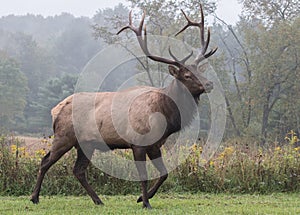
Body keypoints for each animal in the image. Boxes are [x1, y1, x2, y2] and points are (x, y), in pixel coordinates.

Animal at [30, 5, 217, 209]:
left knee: (78, 170)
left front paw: (141, 198)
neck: (164, 114)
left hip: (85, 144)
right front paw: (145, 202)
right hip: (64, 136)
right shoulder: (138, 142)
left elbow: (164, 173)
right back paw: (34, 197)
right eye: (187, 75)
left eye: (199, 70)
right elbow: (143, 175)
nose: (209, 84)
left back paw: (98, 200)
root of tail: (55, 110)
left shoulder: (155, 145)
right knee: (45, 161)